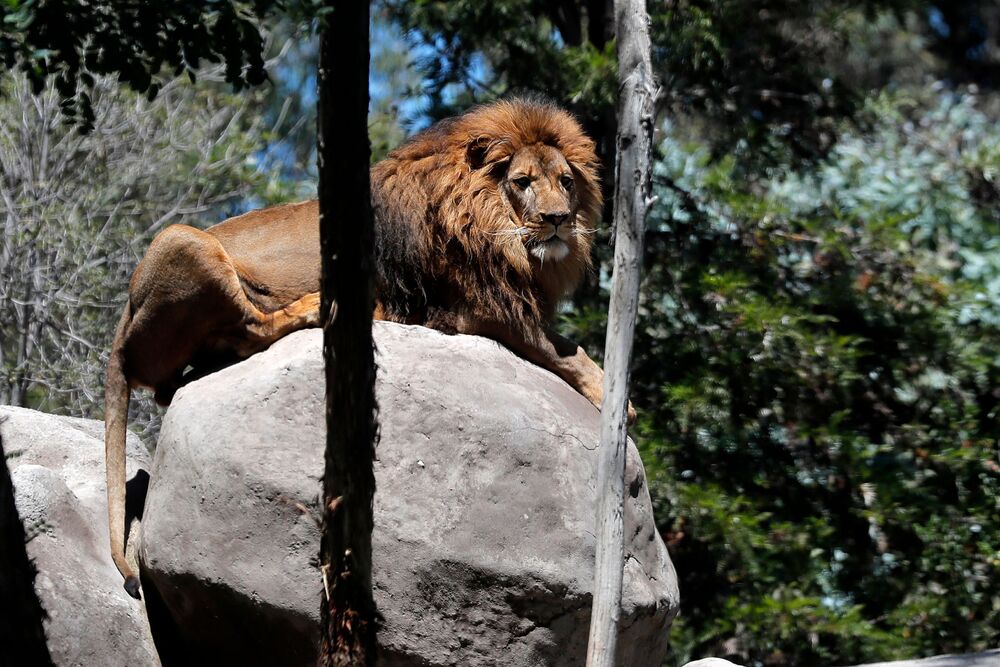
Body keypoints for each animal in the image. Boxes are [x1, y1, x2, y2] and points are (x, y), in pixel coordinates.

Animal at [105, 97, 624, 598]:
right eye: (522, 182)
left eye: (565, 182)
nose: (558, 221)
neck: (493, 226)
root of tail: (123, 326)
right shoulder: (477, 308)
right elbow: (564, 350)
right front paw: (614, 398)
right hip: (183, 240)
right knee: (250, 329)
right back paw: (316, 308)